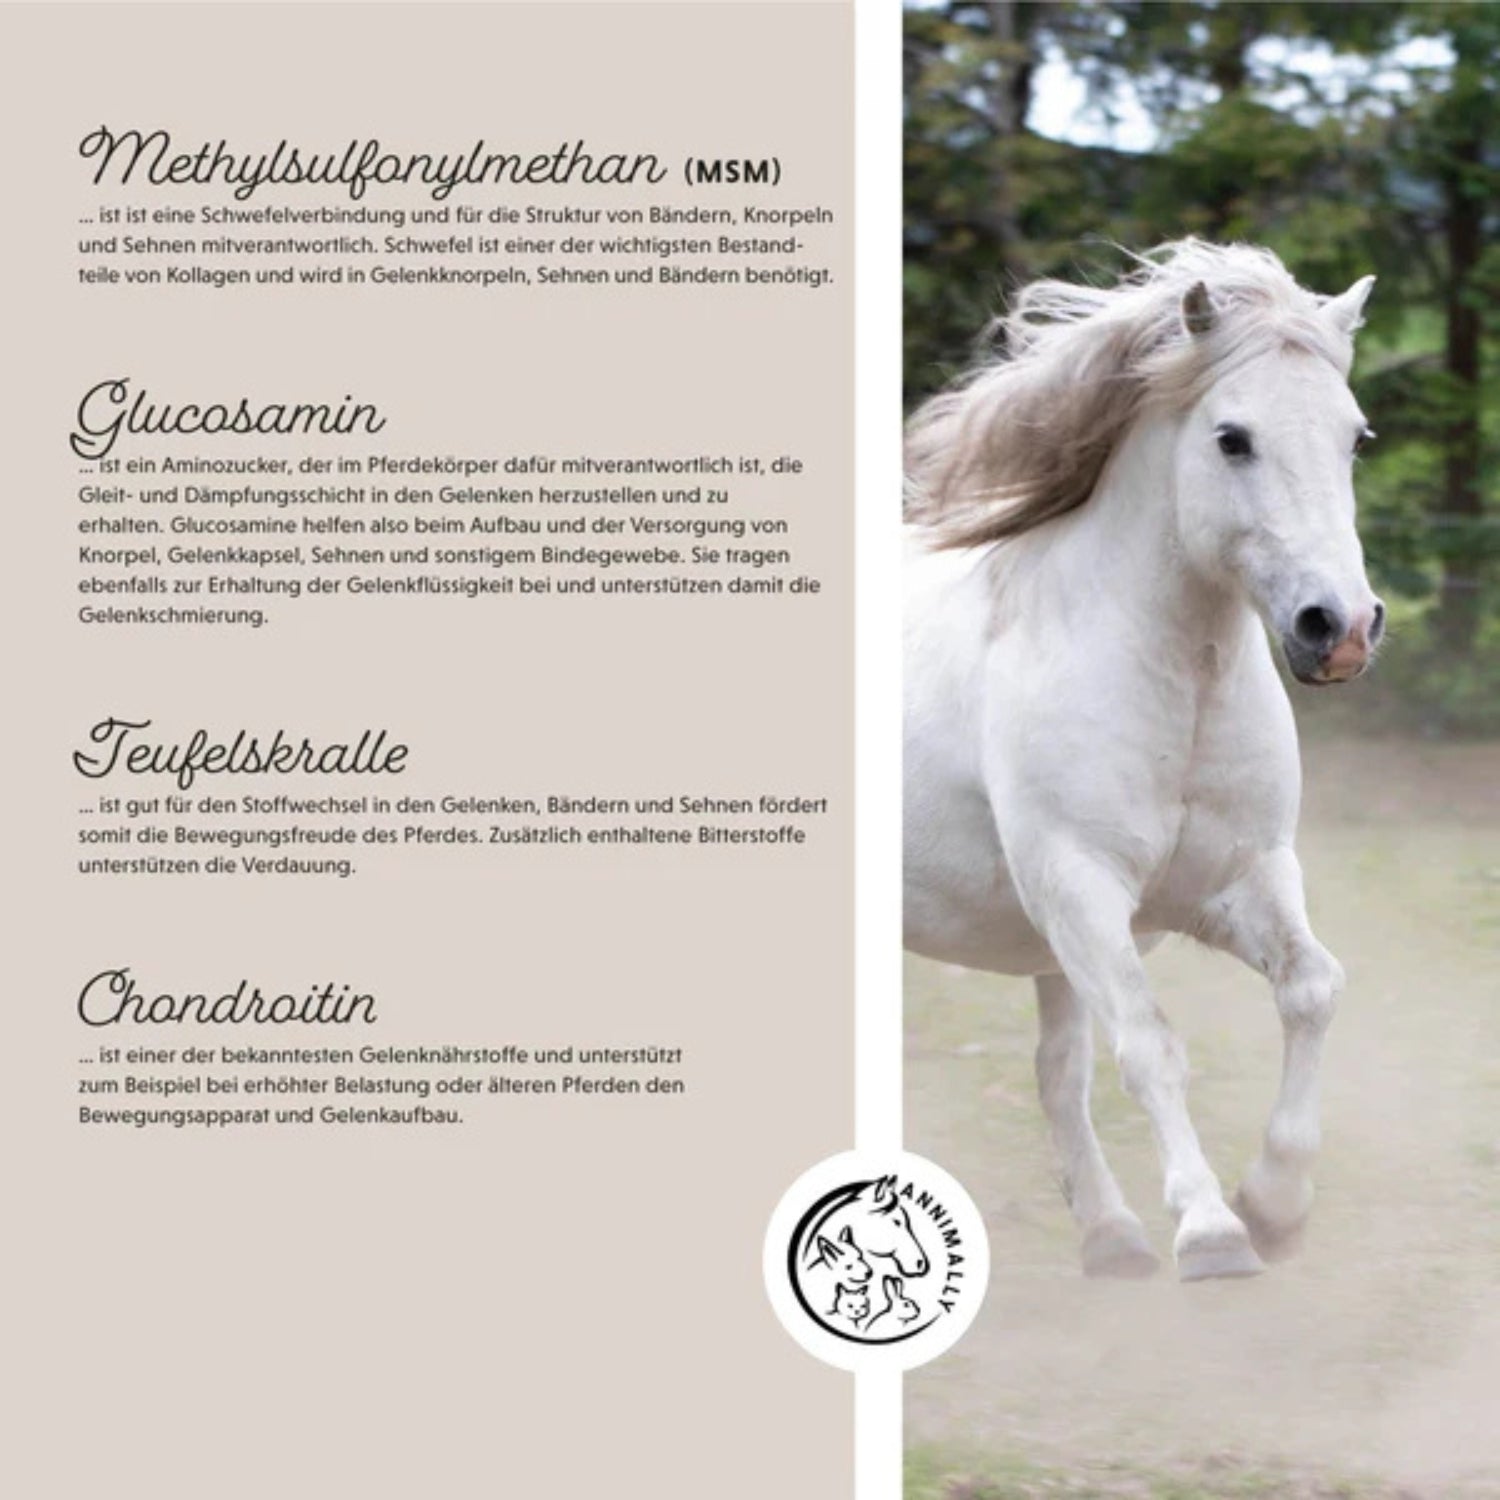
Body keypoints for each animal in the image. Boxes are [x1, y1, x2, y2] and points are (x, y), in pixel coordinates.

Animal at [903, 240, 1383, 1283]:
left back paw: (1111, 1237)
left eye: (1355, 438)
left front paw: (1274, 1204)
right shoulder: (1081, 888)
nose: (1339, 629)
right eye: (1232, 438)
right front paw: (1211, 1232)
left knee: (1058, 1072)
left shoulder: (1234, 880)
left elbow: (1313, 989)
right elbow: (1152, 1046)